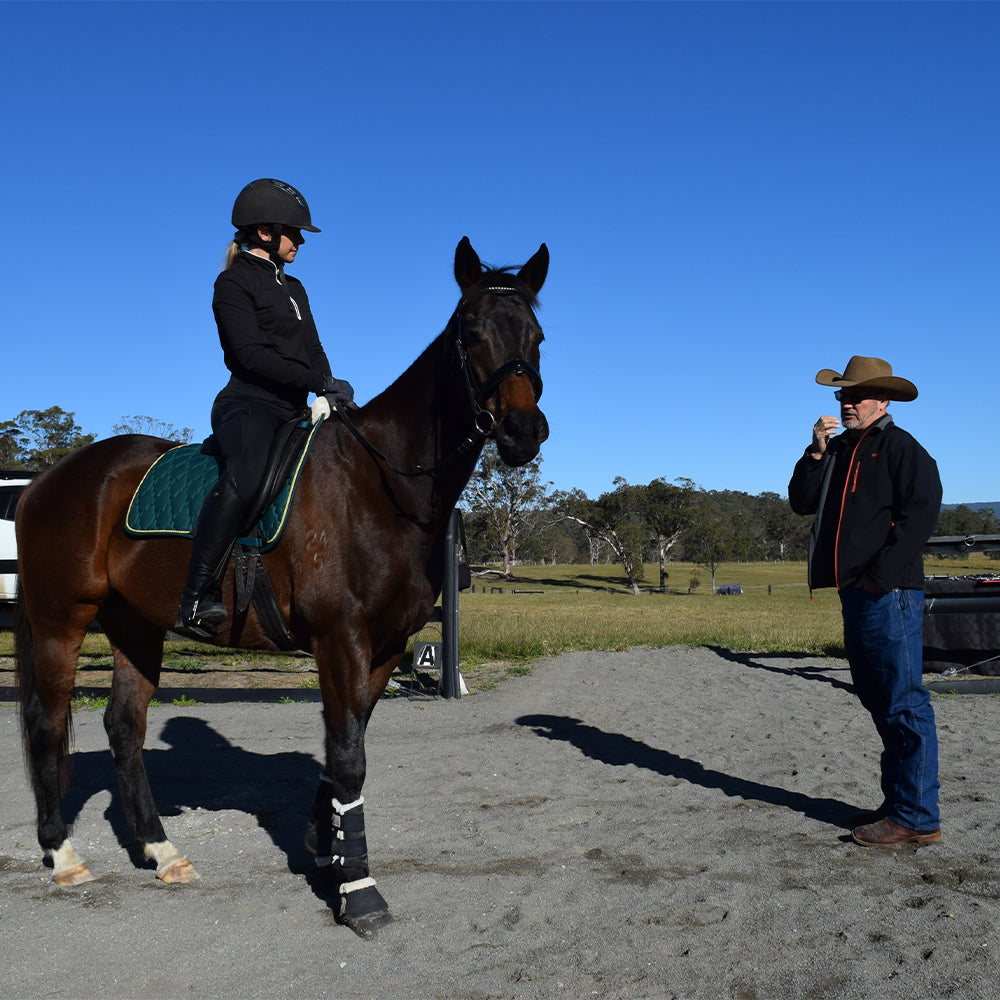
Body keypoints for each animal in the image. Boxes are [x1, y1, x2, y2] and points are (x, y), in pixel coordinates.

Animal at [13, 236, 548, 936]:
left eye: (537, 336)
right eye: (472, 331)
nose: (522, 433)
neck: (379, 484)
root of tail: (47, 479)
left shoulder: (384, 649)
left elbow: (344, 748)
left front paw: (328, 848)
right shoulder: (339, 640)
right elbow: (348, 758)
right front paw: (360, 889)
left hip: (135, 625)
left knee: (124, 726)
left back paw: (161, 851)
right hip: (61, 619)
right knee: (48, 724)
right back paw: (63, 855)